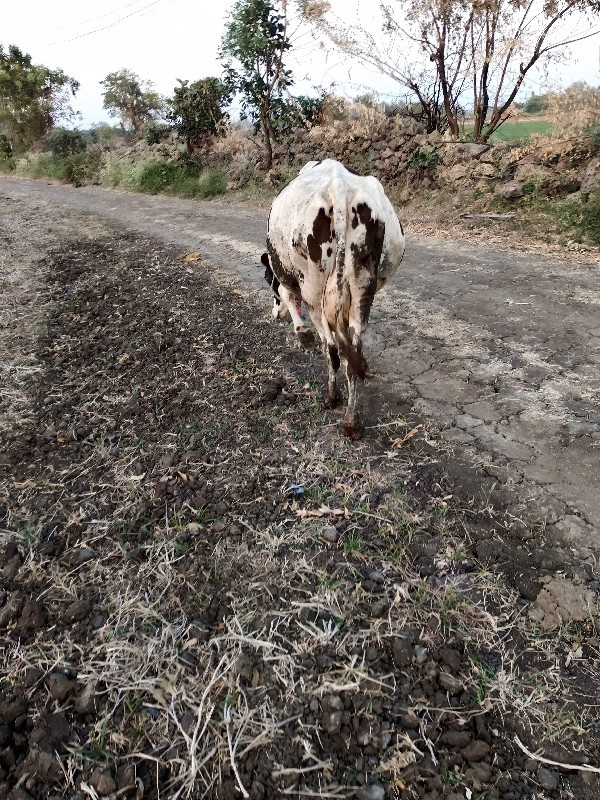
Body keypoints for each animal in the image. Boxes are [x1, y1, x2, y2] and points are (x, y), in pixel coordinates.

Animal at [260, 159, 406, 440]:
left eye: (267, 280)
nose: (274, 314)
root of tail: (339, 187)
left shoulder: (286, 276)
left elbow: (288, 295)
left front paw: (301, 332)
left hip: (314, 290)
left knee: (331, 348)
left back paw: (331, 397)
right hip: (362, 288)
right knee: (353, 354)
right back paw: (351, 421)